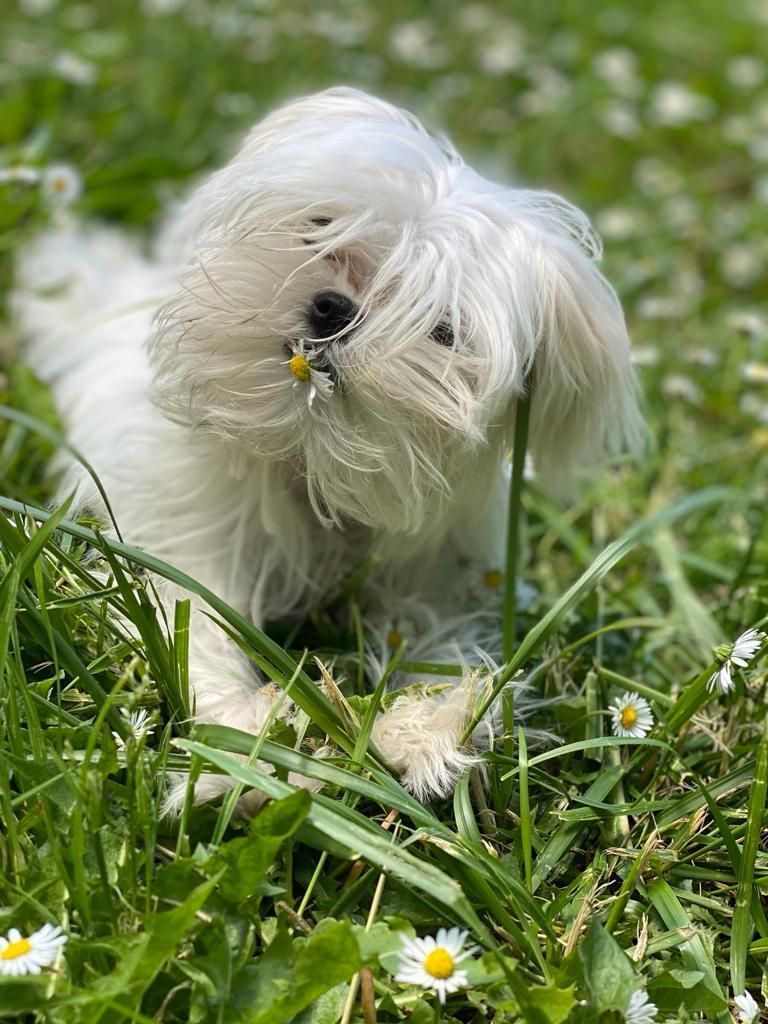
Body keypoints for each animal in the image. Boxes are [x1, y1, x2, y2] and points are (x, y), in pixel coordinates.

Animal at [16, 88, 643, 806]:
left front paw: (431, 727)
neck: (308, 453)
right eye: (320, 228)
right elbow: (192, 624)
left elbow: (432, 640)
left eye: (443, 330)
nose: (334, 310)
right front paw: (243, 746)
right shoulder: (187, 542)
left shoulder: (432, 573)